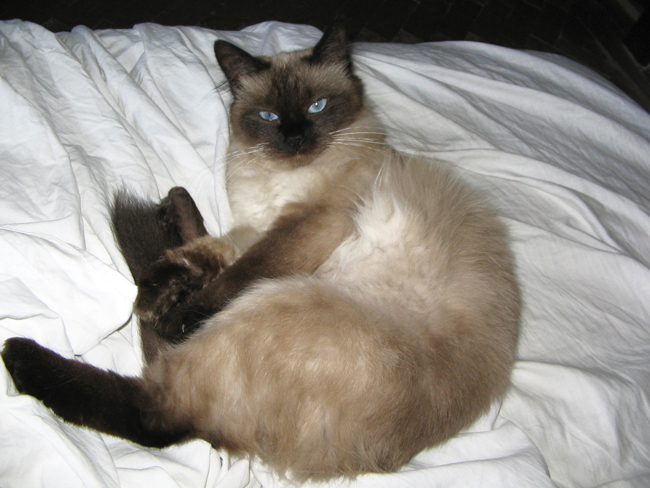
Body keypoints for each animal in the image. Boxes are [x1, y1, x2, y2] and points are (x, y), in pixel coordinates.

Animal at [0, 23, 516, 480]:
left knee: (159, 414)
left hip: (277, 302)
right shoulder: (258, 226)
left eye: (317, 106)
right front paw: (162, 287)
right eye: (268, 117)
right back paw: (172, 219)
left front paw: (176, 309)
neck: (275, 175)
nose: (295, 138)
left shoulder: (306, 227)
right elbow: (208, 252)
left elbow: (239, 272)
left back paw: (27, 352)